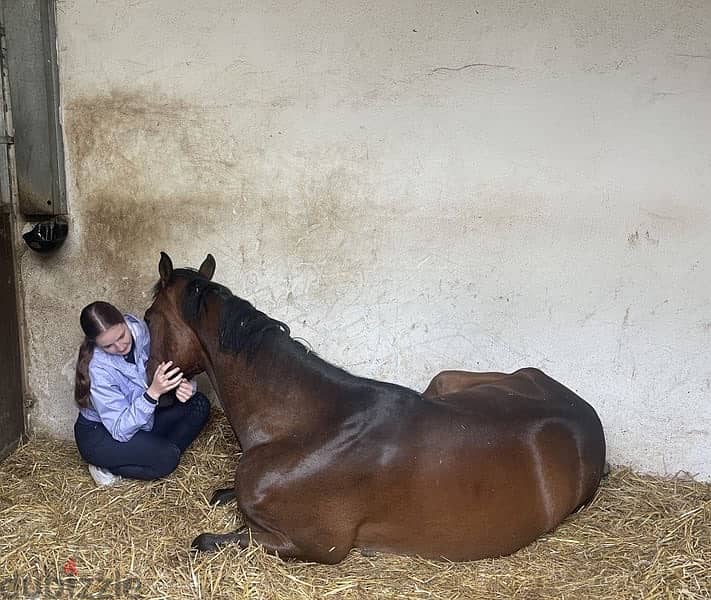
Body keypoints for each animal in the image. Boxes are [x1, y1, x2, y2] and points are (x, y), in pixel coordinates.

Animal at [145, 252, 608, 564]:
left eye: (149, 318)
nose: (155, 388)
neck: (309, 428)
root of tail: (586, 414)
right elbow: (222, 497)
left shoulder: (311, 545)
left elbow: (206, 540)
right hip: (445, 380)